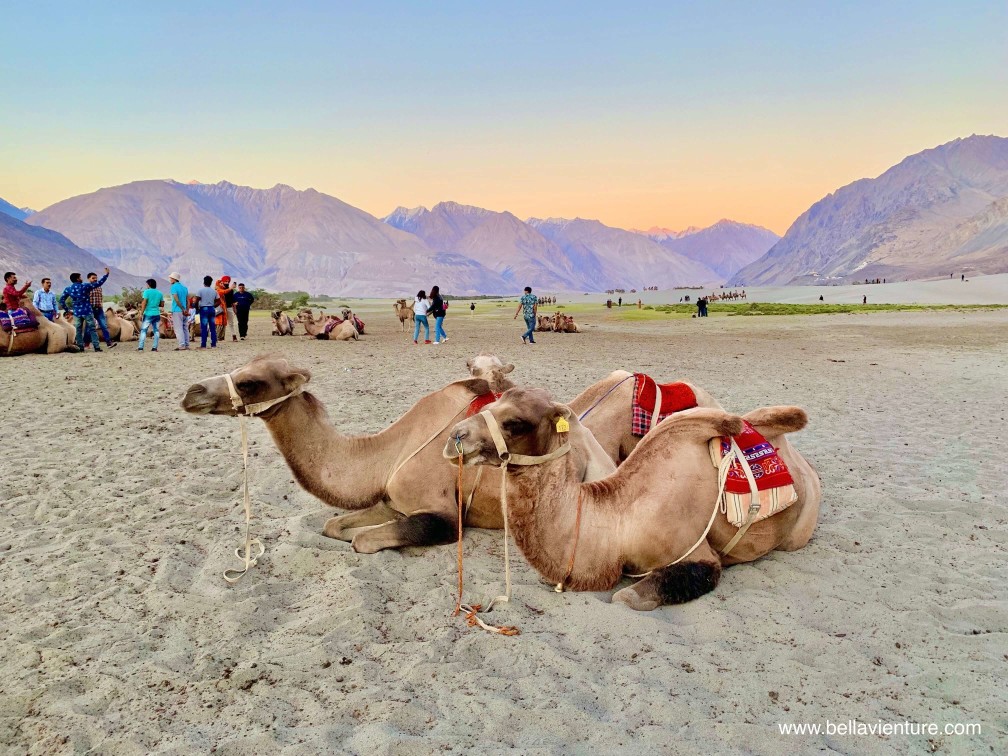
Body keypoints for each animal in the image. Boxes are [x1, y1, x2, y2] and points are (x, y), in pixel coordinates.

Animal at [181, 356, 616, 554]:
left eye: (250, 382)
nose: (191, 392)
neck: (390, 452)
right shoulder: (391, 499)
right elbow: (334, 526)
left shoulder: (443, 515)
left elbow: (363, 541)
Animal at [444, 387, 822, 610]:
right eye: (493, 402)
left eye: (514, 422)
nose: (454, 437)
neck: (619, 522)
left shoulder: (698, 555)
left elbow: (625, 596)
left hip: (799, 532)